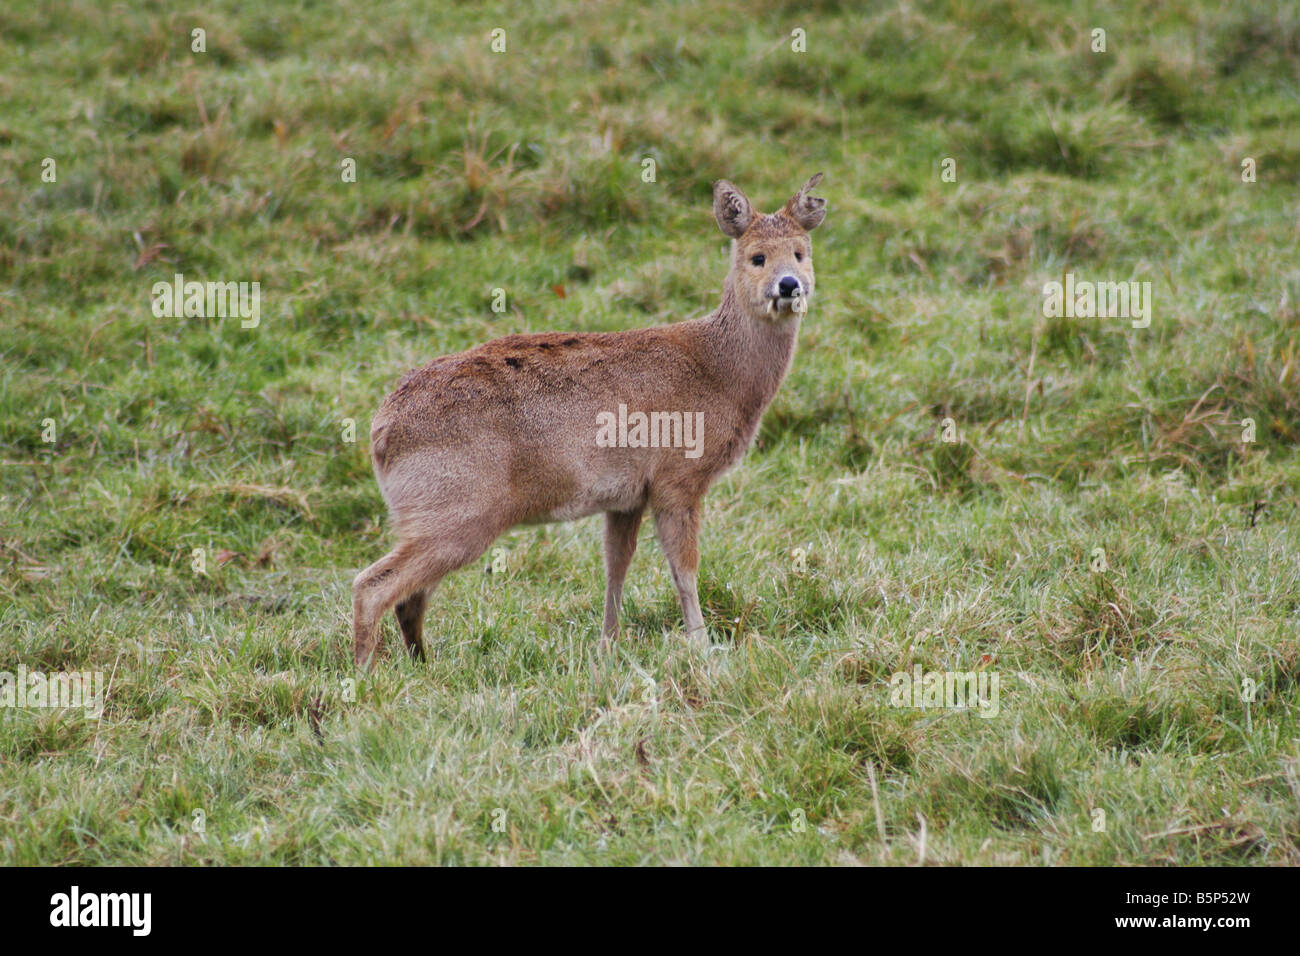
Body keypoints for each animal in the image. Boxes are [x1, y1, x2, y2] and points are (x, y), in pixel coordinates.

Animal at [351, 171, 826, 665]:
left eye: (801, 252)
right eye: (757, 257)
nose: (789, 284)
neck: (718, 370)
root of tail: (381, 432)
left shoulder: (628, 496)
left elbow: (616, 566)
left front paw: (608, 645)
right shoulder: (677, 479)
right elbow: (684, 569)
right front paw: (702, 647)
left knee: (409, 597)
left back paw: (420, 665)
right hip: (458, 512)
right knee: (372, 585)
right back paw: (367, 672)